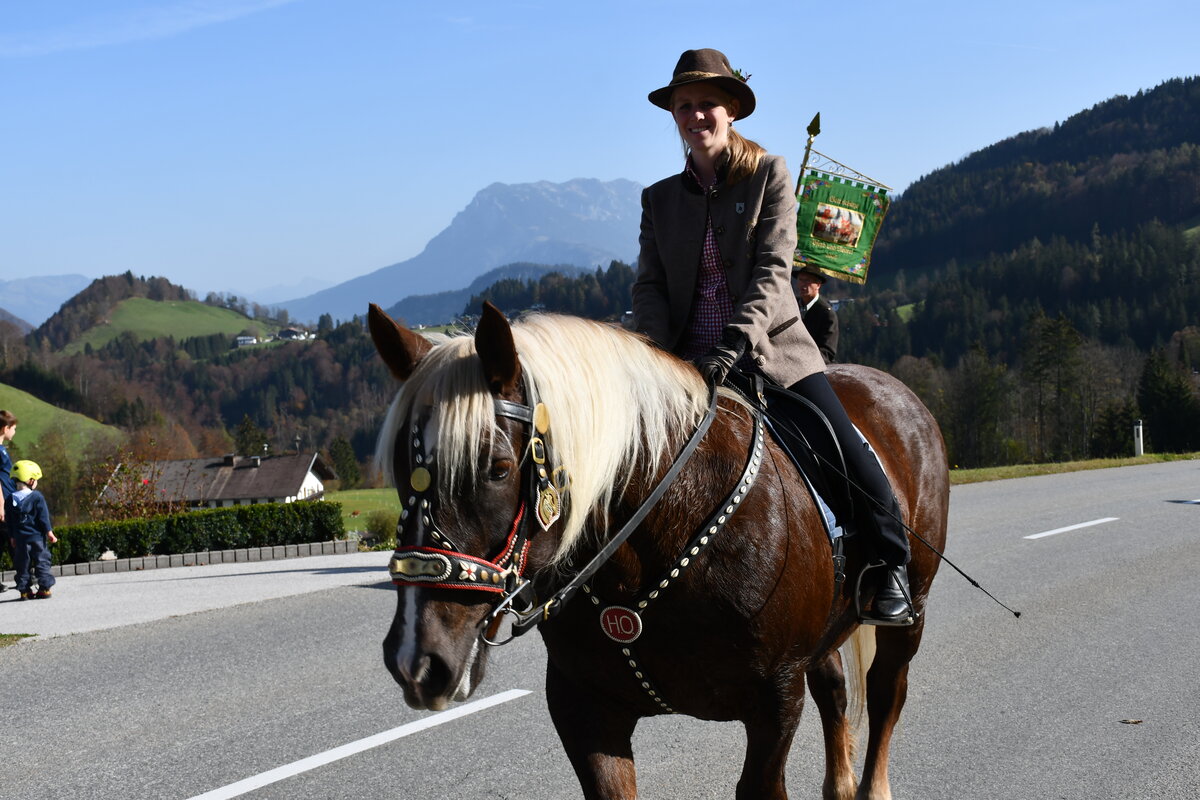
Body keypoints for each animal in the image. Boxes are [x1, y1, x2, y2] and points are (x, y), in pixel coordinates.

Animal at [370, 301, 949, 800]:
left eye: (497, 467)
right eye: (400, 467)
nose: (416, 661)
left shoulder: (776, 702)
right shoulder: (584, 710)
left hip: (913, 610)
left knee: (886, 691)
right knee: (834, 686)